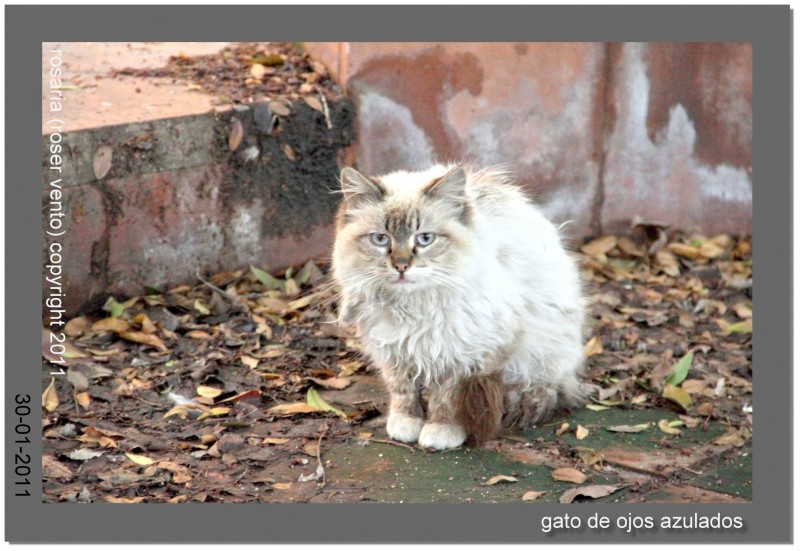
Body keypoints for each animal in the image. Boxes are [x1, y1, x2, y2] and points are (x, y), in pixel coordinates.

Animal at [332, 163, 588, 448]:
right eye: (380, 239)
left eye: (424, 239)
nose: (401, 266)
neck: (413, 308)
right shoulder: (392, 349)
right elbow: (403, 391)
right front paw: (406, 424)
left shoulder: (464, 355)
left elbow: (448, 399)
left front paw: (441, 432)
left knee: (541, 389)